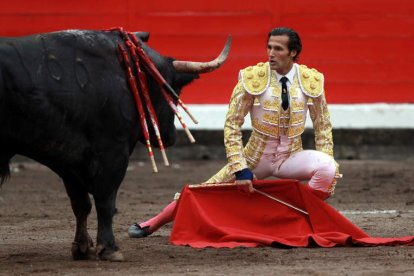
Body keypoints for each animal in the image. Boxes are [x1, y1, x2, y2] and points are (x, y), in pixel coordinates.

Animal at [0, 30, 230, 260]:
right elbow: (106, 200)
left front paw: (82, 248)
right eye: (175, 90)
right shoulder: (112, 151)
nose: (171, 137)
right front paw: (109, 248)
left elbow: (81, 203)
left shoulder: (68, 159)